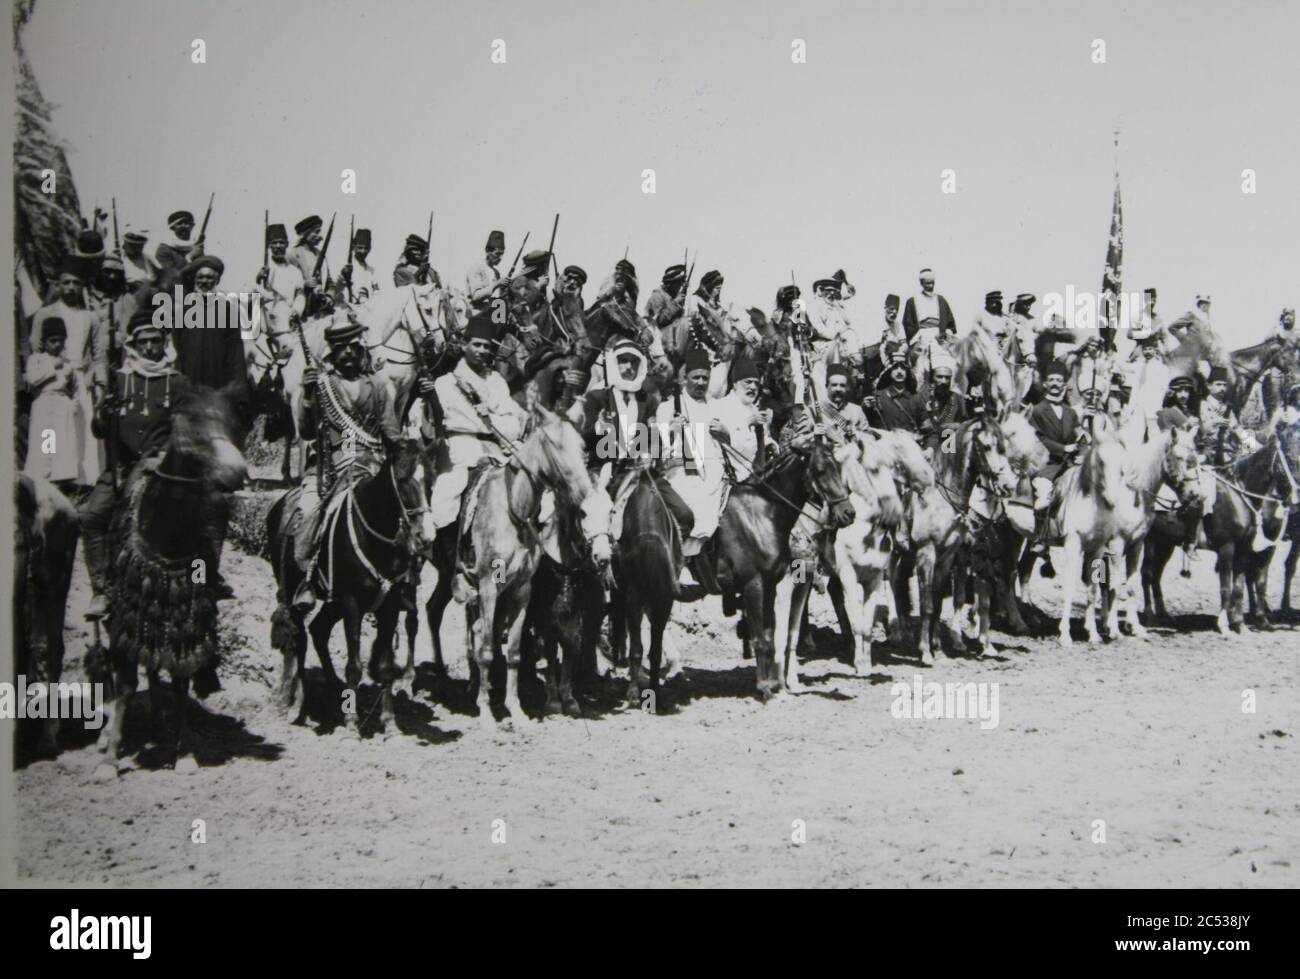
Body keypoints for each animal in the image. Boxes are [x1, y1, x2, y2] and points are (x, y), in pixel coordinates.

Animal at [94, 384, 246, 774]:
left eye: (233, 423)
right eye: (189, 430)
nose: (237, 471)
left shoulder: (187, 621)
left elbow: (179, 681)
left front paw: (181, 752)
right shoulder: (126, 619)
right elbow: (125, 683)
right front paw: (111, 757)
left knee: (154, 669)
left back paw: (159, 725)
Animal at [266, 434, 434, 733]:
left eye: (431, 478)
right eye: (403, 480)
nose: (426, 537)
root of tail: (279, 505)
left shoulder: (389, 604)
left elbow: (386, 666)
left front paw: (389, 723)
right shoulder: (352, 604)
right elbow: (354, 665)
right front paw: (353, 725)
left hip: (333, 604)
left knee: (318, 631)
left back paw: (335, 692)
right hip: (295, 593)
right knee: (298, 638)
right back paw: (296, 703)